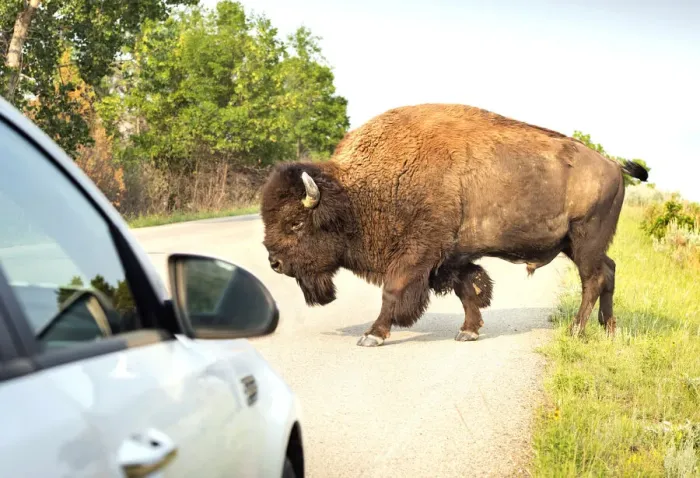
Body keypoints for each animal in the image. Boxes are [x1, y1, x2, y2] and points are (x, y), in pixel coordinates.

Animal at [260, 103, 649, 347]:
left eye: (295, 222)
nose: (274, 263)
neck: (356, 193)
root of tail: (613, 164)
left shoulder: (418, 253)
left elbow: (393, 291)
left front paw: (372, 335)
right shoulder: (451, 257)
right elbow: (468, 290)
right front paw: (469, 332)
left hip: (585, 240)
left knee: (593, 280)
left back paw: (577, 330)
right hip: (579, 244)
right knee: (609, 272)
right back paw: (608, 329)